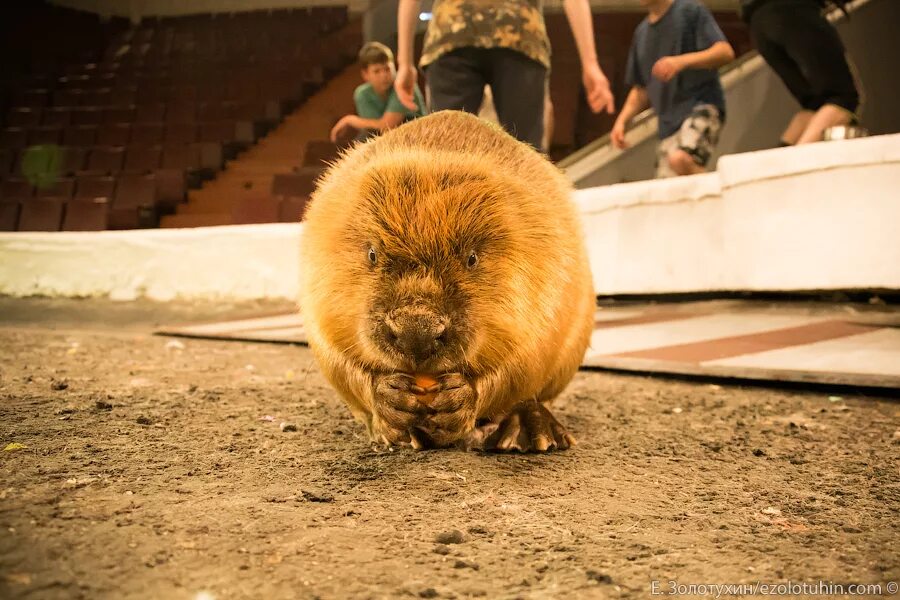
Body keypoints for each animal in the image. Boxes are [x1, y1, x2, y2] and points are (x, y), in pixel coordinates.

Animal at [298, 110, 596, 452]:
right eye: (372, 253)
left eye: (472, 258)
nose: (416, 333)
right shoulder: (317, 286)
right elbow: (338, 361)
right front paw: (389, 397)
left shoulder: (549, 266)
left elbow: (522, 364)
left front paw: (460, 399)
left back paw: (533, 431)